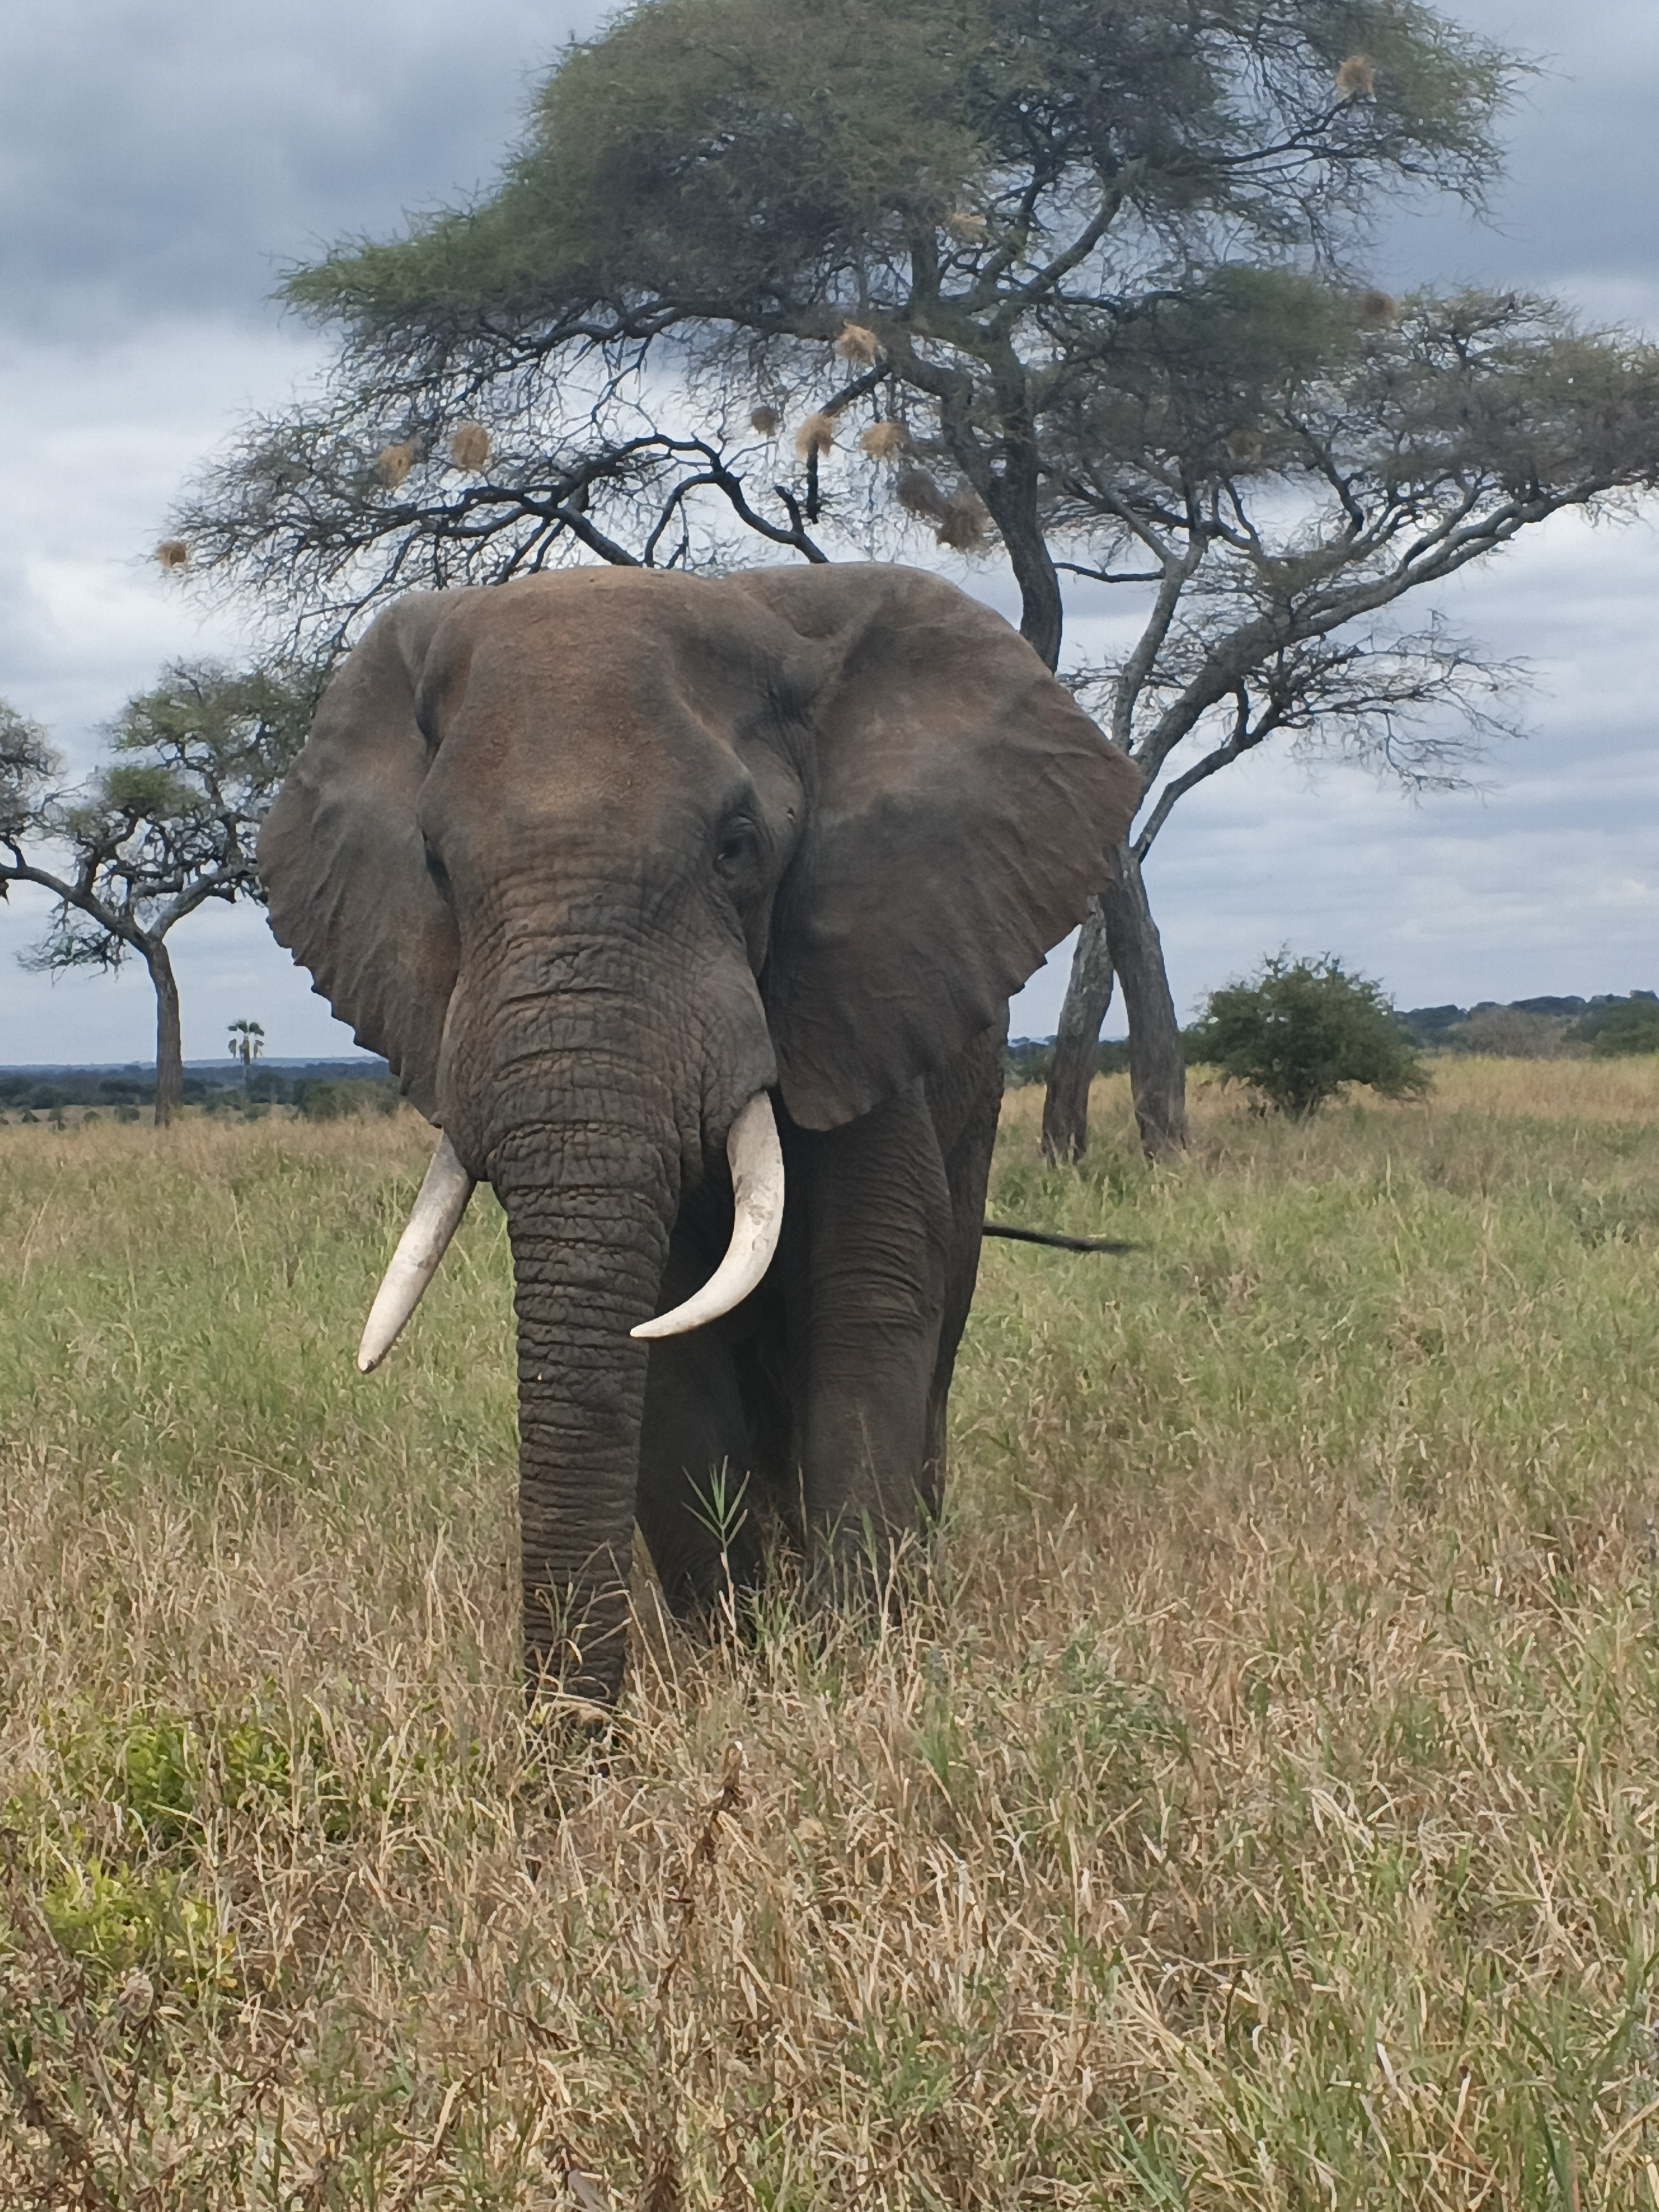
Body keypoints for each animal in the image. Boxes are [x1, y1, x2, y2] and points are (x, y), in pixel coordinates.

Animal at [260, 563, 1140, 1706]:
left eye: (737, 849)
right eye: (435, 866)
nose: (557, 1735)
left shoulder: (858, 991)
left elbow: (864, 1289)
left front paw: (853, 1656)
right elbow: (664, 1335)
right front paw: (738, 1647)